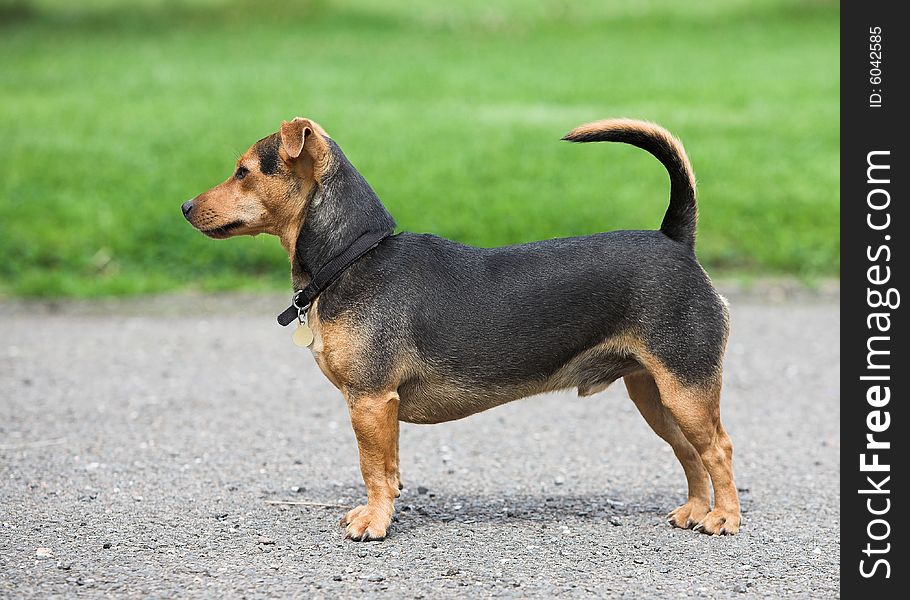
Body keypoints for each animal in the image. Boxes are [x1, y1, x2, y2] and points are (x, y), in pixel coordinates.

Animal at [183, 116, 740, 540]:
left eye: (243, 172)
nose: (185, 206)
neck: (352, 256)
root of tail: (675, 240)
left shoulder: (371, 401)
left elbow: (375, 471)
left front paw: (374, 523)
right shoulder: (374, 407)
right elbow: (387, 471)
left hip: (686, 388)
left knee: (719, 449)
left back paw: (725, 519)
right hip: (654, 393)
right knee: (690, 453)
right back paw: (696, 511)